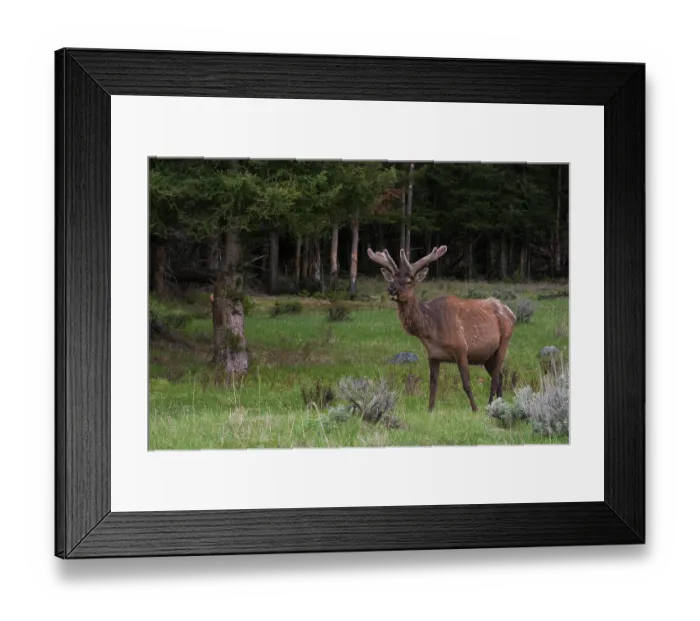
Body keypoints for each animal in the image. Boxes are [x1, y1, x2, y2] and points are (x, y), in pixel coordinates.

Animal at [367, 245, 516, 412]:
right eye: (393, 279)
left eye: (409, 281)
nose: (391, 289)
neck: (432, 332)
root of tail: (511, 313)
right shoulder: (433, 355)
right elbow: (433, 385)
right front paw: (430, 410)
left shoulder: (461, 349)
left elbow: (466, 384)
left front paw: (475, 409)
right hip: (487, 355)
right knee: (501, 376)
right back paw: (500, 403)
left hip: (504, 342)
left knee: (496, 377)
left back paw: (490, 405)